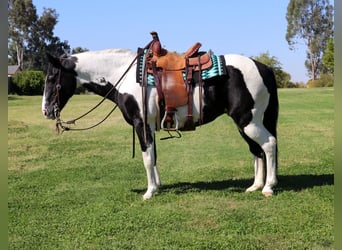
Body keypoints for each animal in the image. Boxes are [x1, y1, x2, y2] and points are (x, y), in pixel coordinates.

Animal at [42, 42, 278, 201]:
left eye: (52, 78)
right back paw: (255, 186)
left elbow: (147, 159)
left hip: (248, 121)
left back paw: (268, 187)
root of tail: (263, 67)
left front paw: (149, 192)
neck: (125, 76)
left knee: (269, 145)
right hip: (244, 124)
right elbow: (153, 157)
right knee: (256, 150)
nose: (46, 111)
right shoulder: (149, 128)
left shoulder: (141, 125)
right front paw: (157, 186)